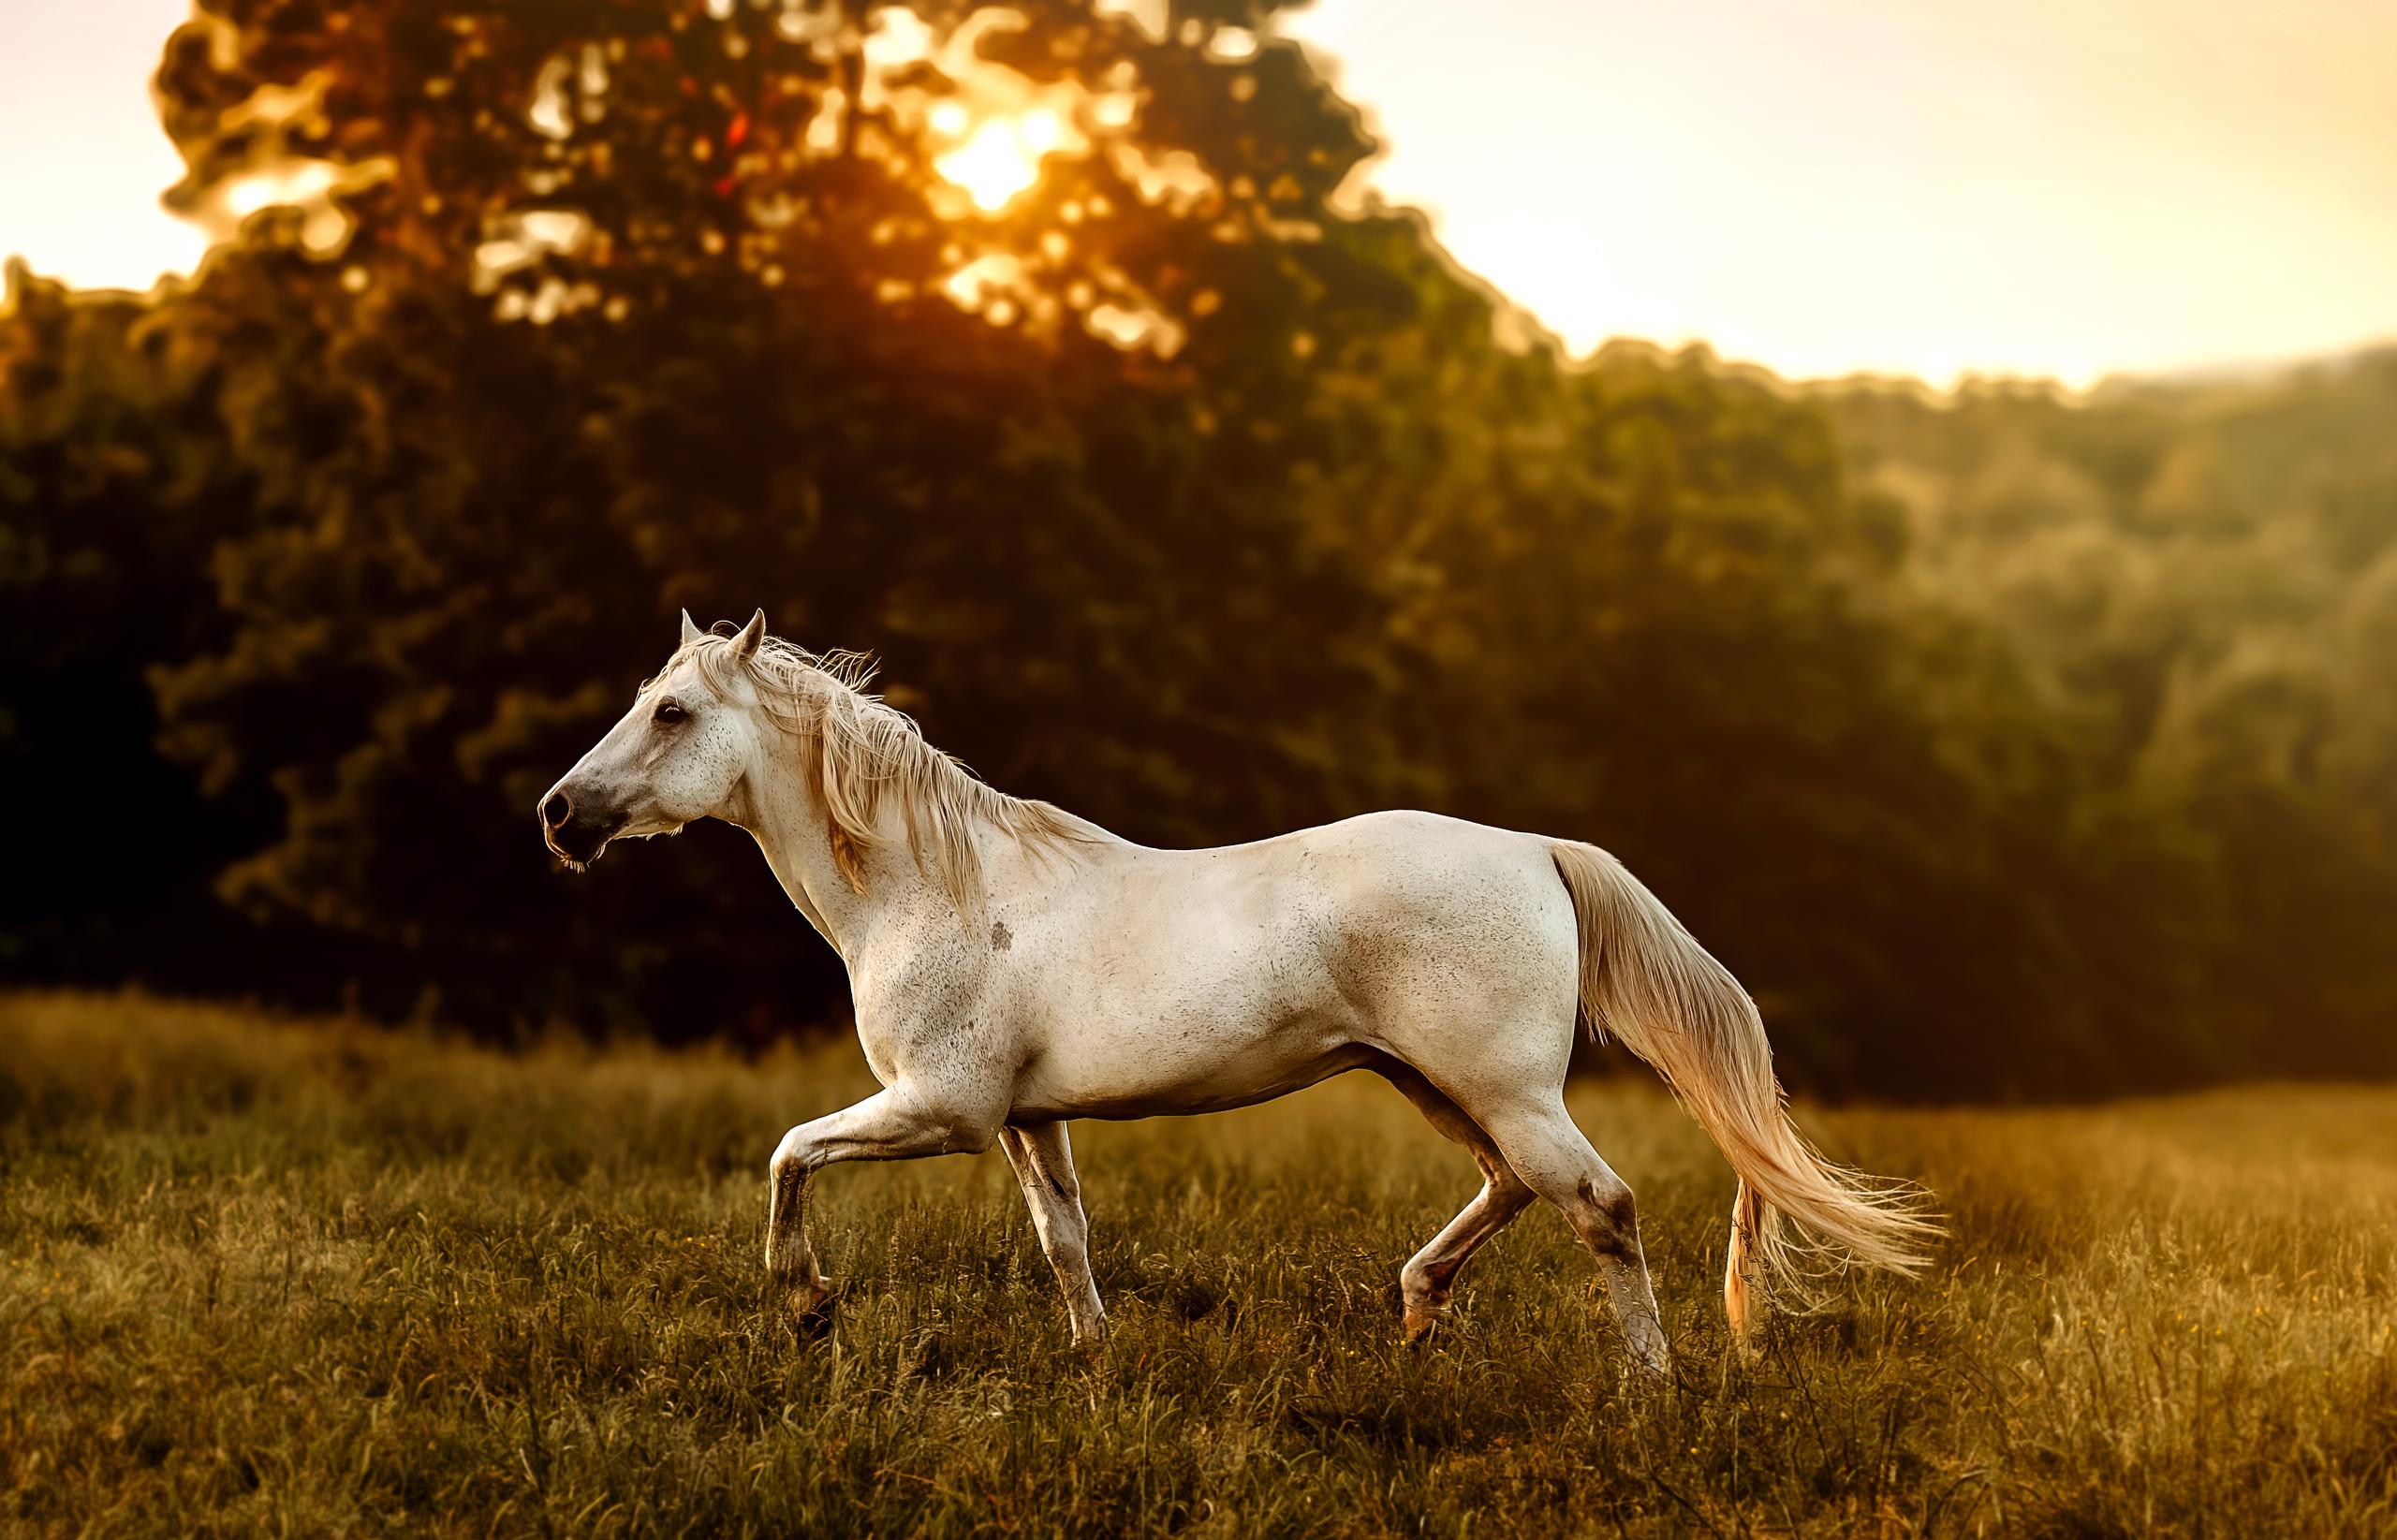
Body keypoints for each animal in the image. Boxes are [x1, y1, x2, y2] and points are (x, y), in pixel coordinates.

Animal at [539, 608, 1927, 1370]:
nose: (559, 815)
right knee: (1512, 1190)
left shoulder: (947, 1110)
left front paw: (809, 1305)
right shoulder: (1030, 1121)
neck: (933, 884)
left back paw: (1653, 1386)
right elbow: (1063, 1241)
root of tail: (1537, 846)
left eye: (671, 712)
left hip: (1503, 1089)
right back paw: (1417, 1319)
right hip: (1439, 1085)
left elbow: (786, 1154)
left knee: (1599, 1204)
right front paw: (1096, 1362)